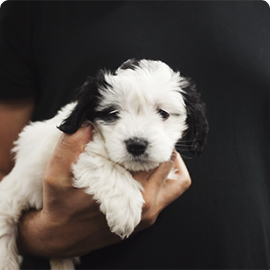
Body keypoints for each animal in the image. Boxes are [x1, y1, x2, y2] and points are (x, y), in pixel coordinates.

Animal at [0, 59, 209, 270]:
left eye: (163, 113)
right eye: (113, 113)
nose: (136, 145)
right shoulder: (75, 151)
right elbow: (101, 162)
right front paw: (125, 207)